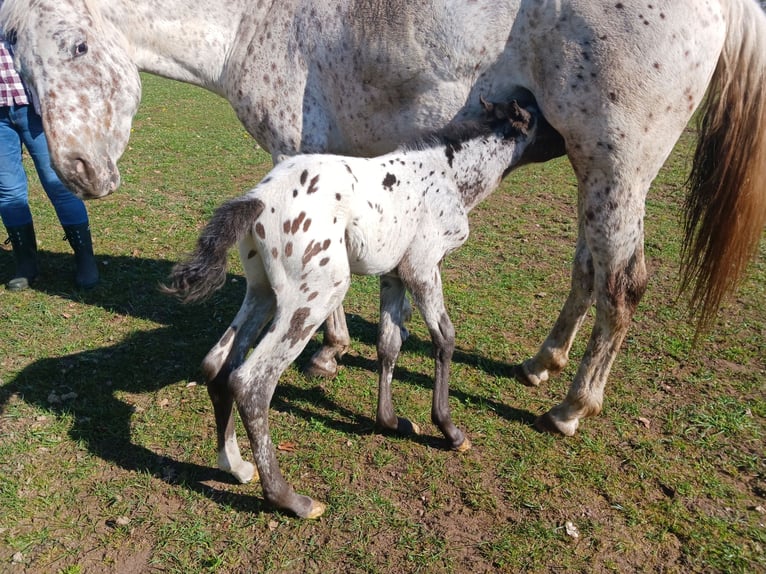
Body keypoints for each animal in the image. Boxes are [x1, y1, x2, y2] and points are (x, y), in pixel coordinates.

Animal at [1, 1, 766, 446]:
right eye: (17, 64)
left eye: (77, 48)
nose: (77, 172)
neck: (256, 17)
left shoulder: (294, 150)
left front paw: (329, 351)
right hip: (595, 171)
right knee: (588, 267)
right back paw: (541, 364)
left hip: (617, 167)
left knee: (622, 283)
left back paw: (574, 406)